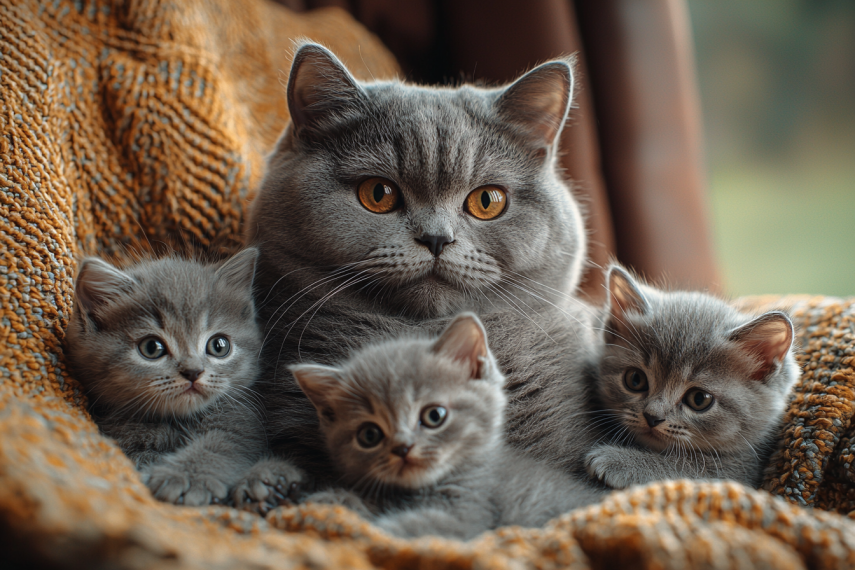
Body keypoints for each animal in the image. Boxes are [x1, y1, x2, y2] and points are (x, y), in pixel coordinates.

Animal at [65, 247, 298, 502]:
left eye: (219, 346)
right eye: (152, 348)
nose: (193, 371)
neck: (176, 419)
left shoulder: (241, 419)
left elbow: (224, 444)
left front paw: (183, 477)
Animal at [290, 310, 604, 536]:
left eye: (434, 416)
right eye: (369, 435)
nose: (402, 449)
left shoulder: (467, 512)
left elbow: (396, 528)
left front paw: (334, 522)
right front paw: (330, 502)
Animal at [580, 264, 804, 486]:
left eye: (699, 399)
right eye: (635, 380)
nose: (652, 417)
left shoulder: (741, 470)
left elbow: (683, 467)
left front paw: (617, 461)